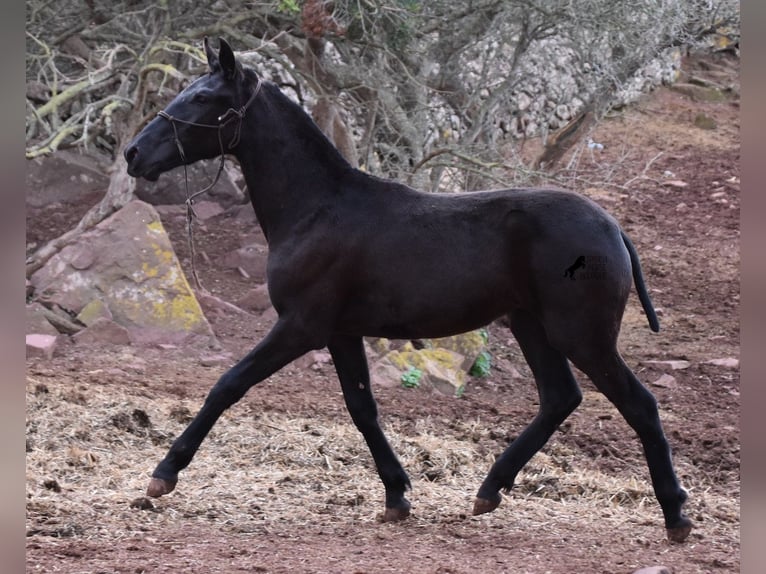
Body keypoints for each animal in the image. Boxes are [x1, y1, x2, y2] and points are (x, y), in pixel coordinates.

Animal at [123, 37, 692, 544]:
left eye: (202, 98)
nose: (133, 154)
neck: (317, 209)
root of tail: (612, 228)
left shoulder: (301, 326)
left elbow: (228, 385)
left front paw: (163, 475)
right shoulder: (341, 333)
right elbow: (362, 409)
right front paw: (397, 496)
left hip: (582, 335)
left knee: (639, 404)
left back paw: (676, 516)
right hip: (532, 326)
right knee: (560, 398)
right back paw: (489, 490)